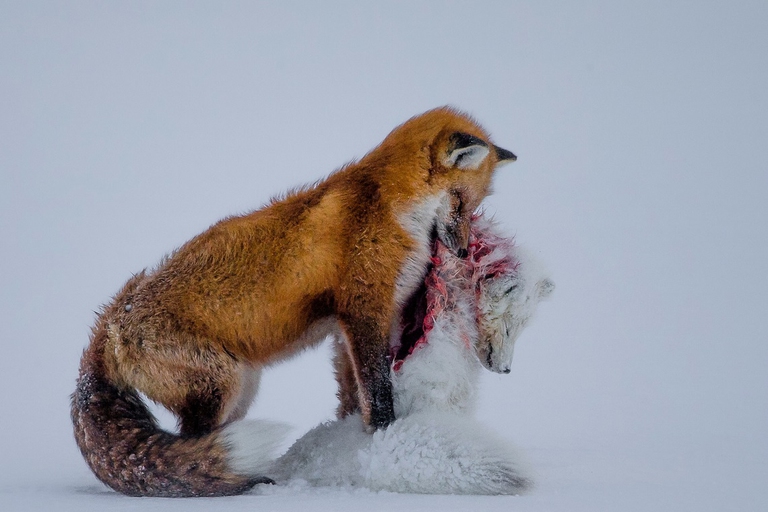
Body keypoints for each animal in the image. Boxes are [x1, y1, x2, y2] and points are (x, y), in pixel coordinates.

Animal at [71, 107, 517, 497]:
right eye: (459, 201)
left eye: (473, 207)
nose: (462, 252)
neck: (390, 207)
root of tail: (109, 323)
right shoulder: (363, 310)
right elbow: (377, 392)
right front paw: (384, 438)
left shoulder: (349, 328)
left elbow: (353, 396)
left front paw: (353, 442)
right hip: (222, 384)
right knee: (192, 452)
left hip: (241, 390)